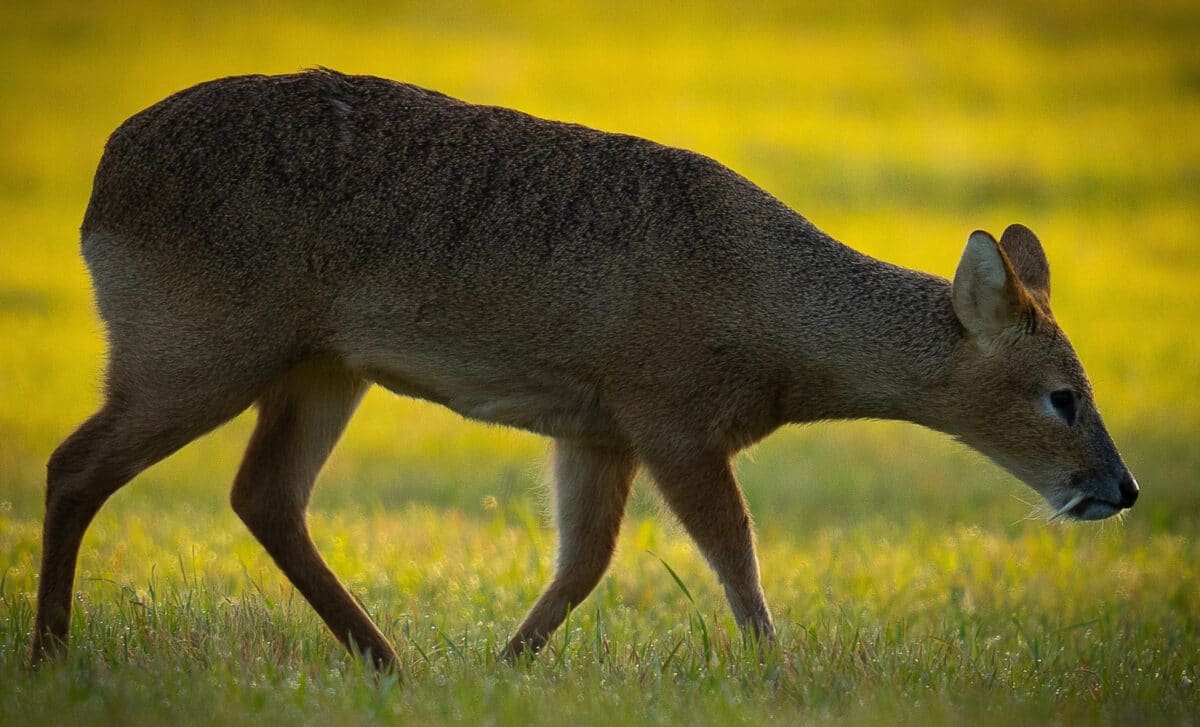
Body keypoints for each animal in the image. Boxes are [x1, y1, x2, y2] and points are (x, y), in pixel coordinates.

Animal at [31, 69, 1138, 669]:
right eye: (1062, 396)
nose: (1121, 488)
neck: (774, 314)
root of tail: (98, 187)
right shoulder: (670, 410)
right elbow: (736, 554)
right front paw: (780, 672)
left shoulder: (597, 424)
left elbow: (584, 562)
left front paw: (505, 665)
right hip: (194, 345)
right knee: (74, 465)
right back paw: (51, 652)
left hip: (319, 365)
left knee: (263, 494)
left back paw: (390, 661)